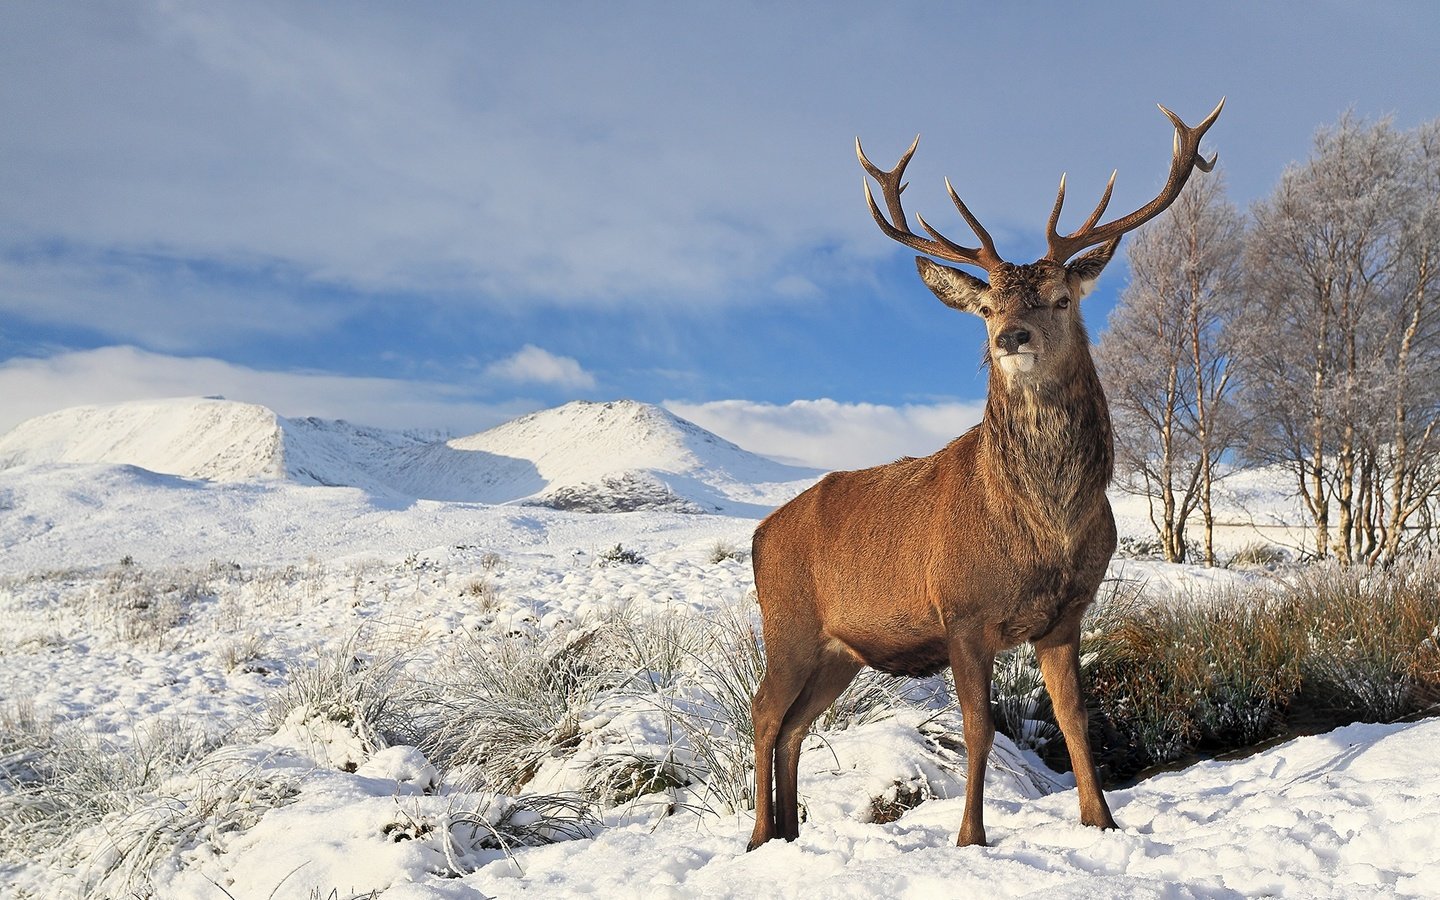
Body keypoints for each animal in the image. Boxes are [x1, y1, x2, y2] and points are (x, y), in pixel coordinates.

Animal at [743, 100, 1226, 846]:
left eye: (1061, 298)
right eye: (988, 305)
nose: (1010, 338)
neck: (1044, 529)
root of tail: (760, 536)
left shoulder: (1065, 614)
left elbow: (1074, 719)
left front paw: (1101, 821)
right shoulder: (962, 614)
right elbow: (978, 729)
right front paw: (970, 836)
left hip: (840, 651)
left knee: (795, 725)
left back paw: (791, 835)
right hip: (788, 624)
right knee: (765, 713)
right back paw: (760, 836)